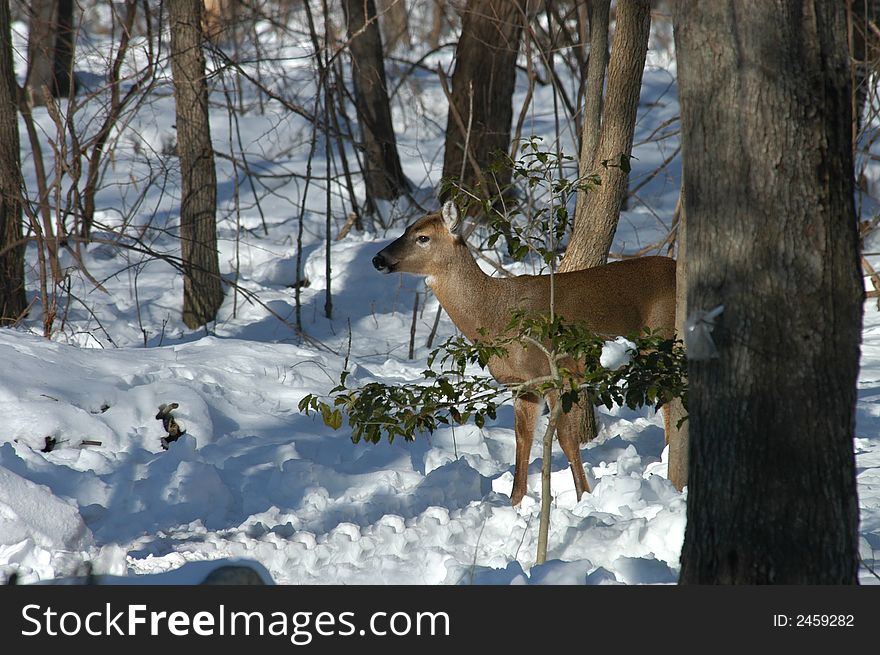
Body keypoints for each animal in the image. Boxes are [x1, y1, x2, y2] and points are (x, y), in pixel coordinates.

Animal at [370, 202, 672, 504]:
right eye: (406, 229)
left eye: (423, 237)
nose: (377, 259)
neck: (496, 316)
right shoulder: (521, 385)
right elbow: (523, 438)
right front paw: (515, 501)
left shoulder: (557, 375)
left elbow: (565, 439)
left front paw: (583, 497)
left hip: (664, 342)